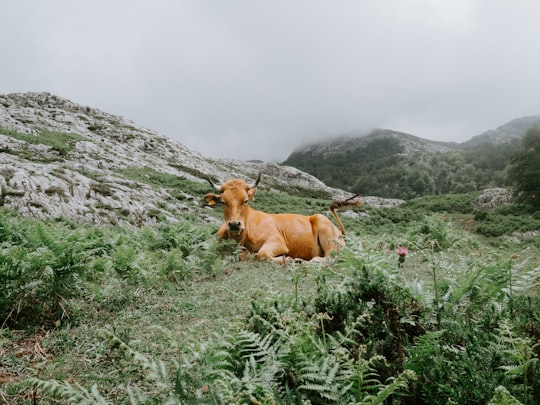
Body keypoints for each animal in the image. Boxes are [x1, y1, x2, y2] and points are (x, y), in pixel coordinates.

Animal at [204, 174, 362, 262]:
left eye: (246, 201)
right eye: (223, 202)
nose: (234, 224)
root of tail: (340, 233)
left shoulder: (277, 241)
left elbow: (261, 255)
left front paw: (287, 259)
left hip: (326, 231)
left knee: (329, 258)